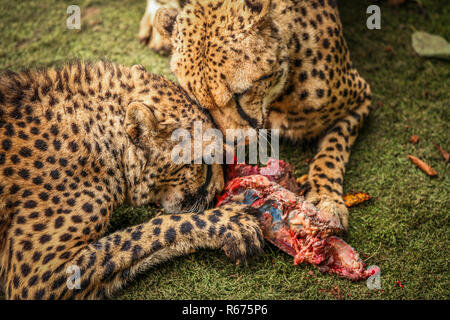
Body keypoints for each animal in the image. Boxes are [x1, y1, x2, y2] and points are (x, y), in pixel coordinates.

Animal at [0, 61, 264, 298]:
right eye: (207, 159)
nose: (219, 189)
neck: (101, 137)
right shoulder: (39, 276)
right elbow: (154, 228)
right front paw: (230, 222)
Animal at [151, 0, 372, 230]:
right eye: (201, 104)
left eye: (241, 93)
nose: (231, 145)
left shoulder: (360, 100)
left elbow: (331, 153)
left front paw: (326, 199)